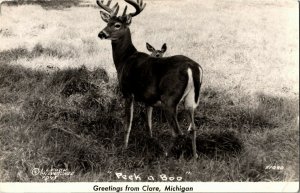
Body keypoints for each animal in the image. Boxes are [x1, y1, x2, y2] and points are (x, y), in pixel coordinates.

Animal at [97, 0, 203, 158]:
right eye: (107, 22)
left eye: (117, 25)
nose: (101, 34)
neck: (124, 60)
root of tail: (192, 67)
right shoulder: (149, 99)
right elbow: (149, 125)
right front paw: (150, 142)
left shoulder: (128, 92)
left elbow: (127, 123)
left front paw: (124, 148)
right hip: (191, 100)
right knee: (193, 128)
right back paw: (195, 156)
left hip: (169, 99)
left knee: (177, 132)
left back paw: (167, 154)